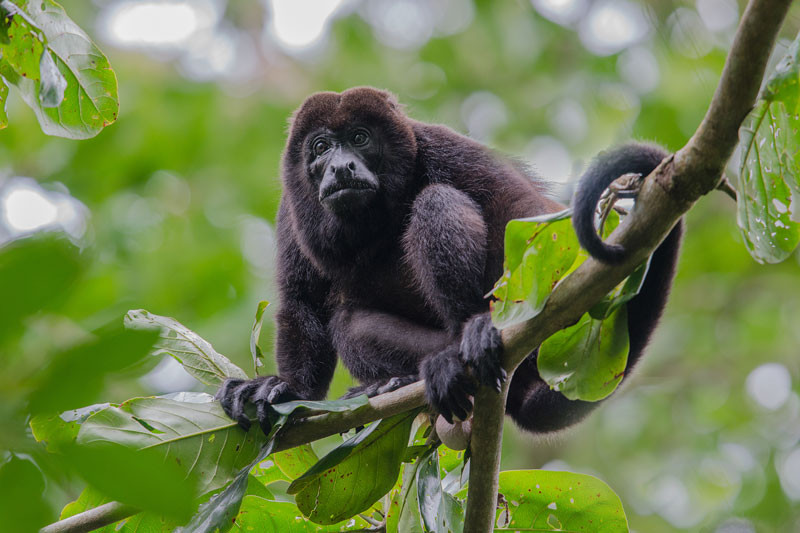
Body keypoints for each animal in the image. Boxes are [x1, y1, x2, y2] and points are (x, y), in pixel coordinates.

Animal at [217, 87, 680, 434]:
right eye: (321, 147)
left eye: (360, 138)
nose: (341, 167)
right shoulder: (291, 209)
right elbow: (302, 301)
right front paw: (284, 389)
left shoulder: (441, 145)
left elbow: (516, 208)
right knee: (348, 323)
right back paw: (403, 379)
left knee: (437, 201)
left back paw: (469, 336)